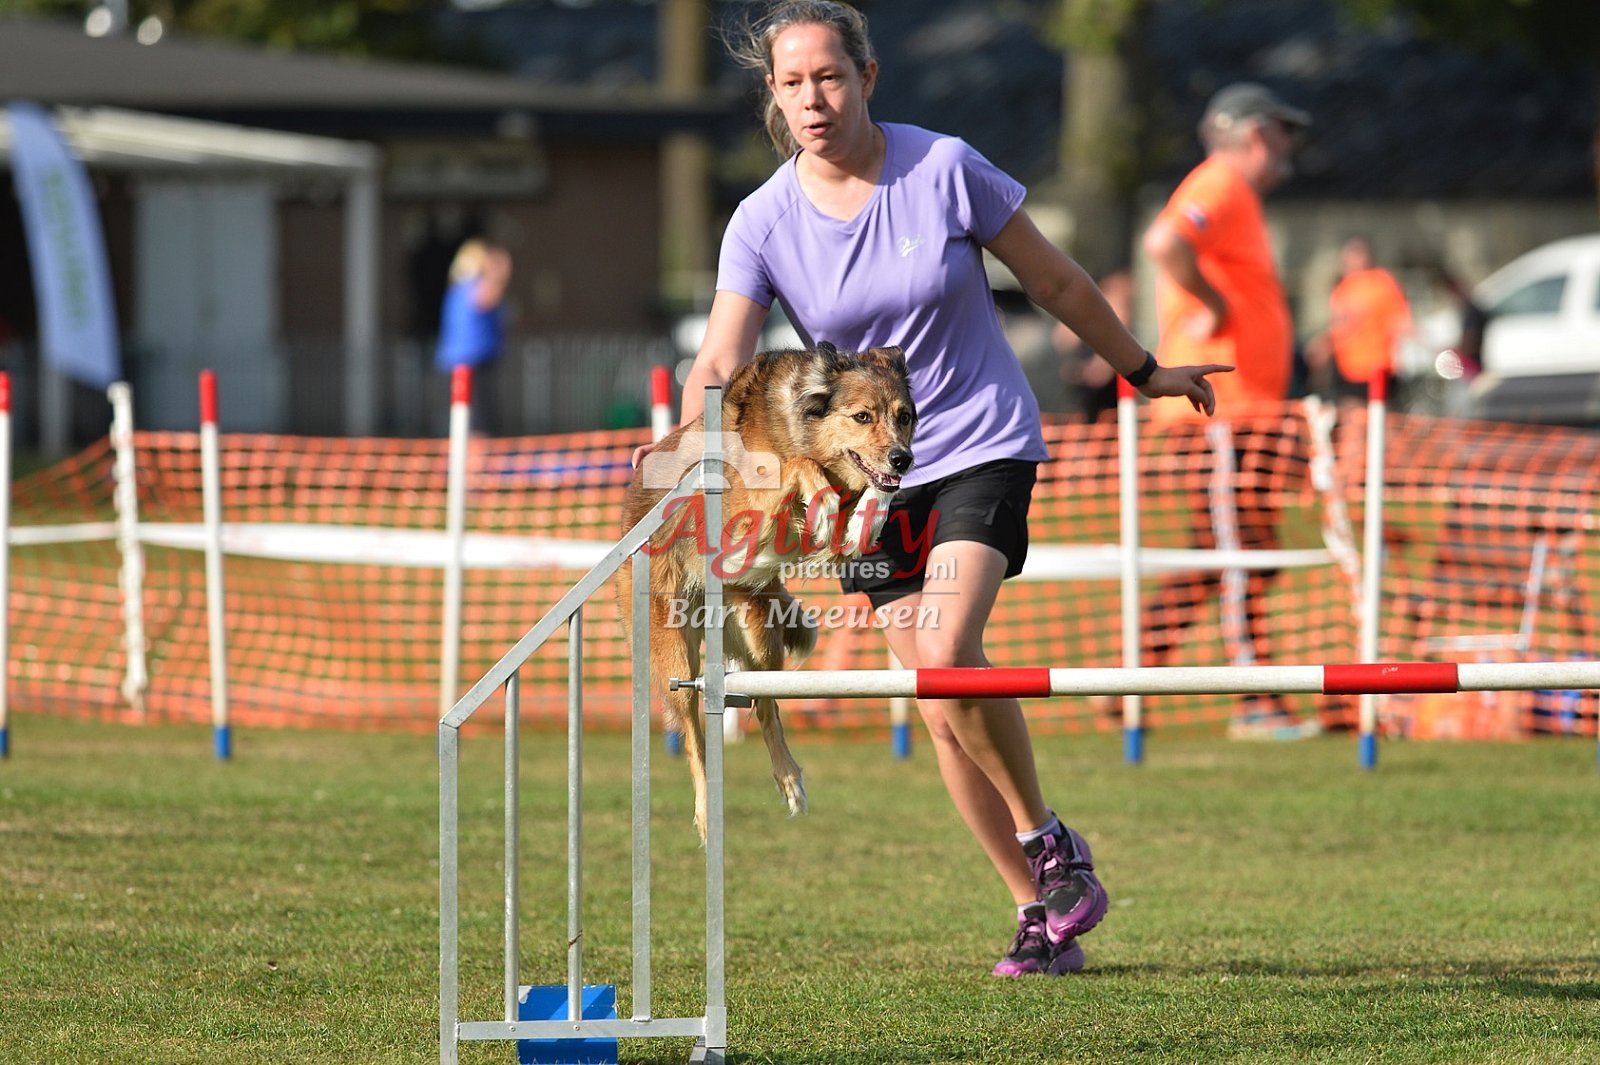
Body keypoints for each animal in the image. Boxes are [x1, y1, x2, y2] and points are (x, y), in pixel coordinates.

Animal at [616, 342, 916, 842]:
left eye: (905, 416)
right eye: (862, 416)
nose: (903, 459)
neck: (798, 428)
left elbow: (865, 504)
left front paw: (863, 519)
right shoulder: (743, 518)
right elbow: (800, 469)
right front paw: (825, 502)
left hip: (759, 632)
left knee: (765, 706)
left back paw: (790, 780)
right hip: (676, 655)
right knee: (695, 736)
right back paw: (705, 813)